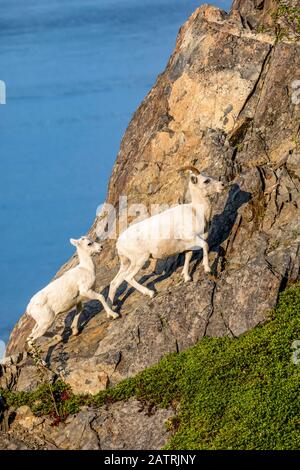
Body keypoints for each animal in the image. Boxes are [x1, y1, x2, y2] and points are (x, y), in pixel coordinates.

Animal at [108, 166, 225, 304]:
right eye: (206, 181)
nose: (222, 185)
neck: (197, 211)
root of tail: (119, 243)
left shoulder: (188, 246)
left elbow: (188, 256)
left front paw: (186, 277)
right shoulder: (193, 238)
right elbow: (205, 245)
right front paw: (207, 269)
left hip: (126, 262)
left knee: (114, 283)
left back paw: (112, 310)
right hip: (140, 259)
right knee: (128, 278)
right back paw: (150, 293)